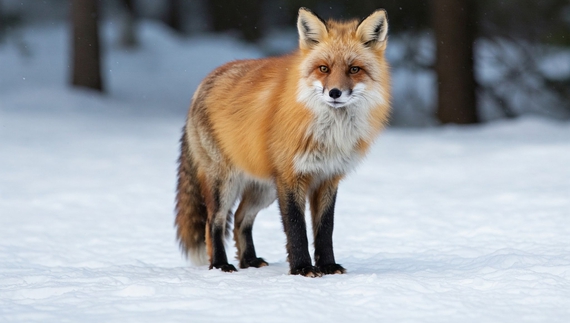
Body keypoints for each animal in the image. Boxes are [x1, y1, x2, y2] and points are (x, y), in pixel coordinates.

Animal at [175, 7, 388, 278]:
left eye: (354, 69)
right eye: (324, 68)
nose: (335, 93)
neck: (330, 135)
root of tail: (204, 82)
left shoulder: (328, 177)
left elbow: (325, 229)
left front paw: (328, 266)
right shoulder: (290, 177)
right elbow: (296, 228)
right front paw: (302, 268)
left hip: (264, 189)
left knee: (241, 219)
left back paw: (249, 260)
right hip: (225, 182)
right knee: (215, 222)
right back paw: (220, 265)